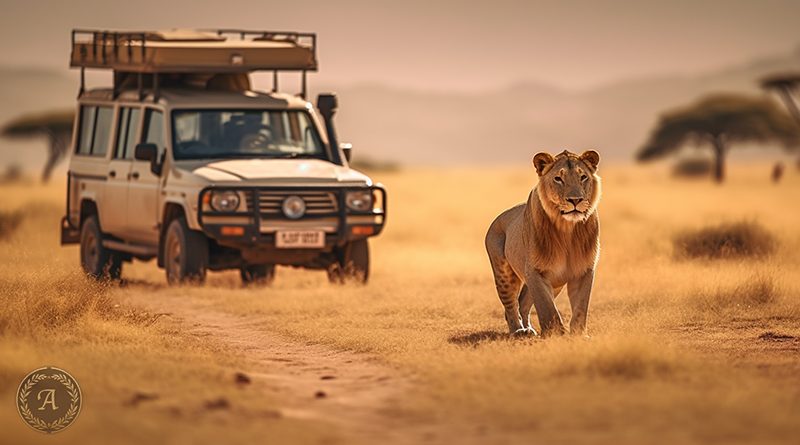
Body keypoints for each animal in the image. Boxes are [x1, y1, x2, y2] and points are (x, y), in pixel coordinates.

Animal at [482, 149, 600, 336]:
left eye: (583, 177)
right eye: (558, 178)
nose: (575, 200)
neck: (567, 230)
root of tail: (497, 218)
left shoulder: (584, 269)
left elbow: (581, 307)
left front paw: (579, 335)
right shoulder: (536, 270)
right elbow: (547, 308)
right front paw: (556, 334)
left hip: (554, 282)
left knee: (523, 302)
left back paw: (528, 329)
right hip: (504, 274)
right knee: (511, 306)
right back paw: (518, 331)